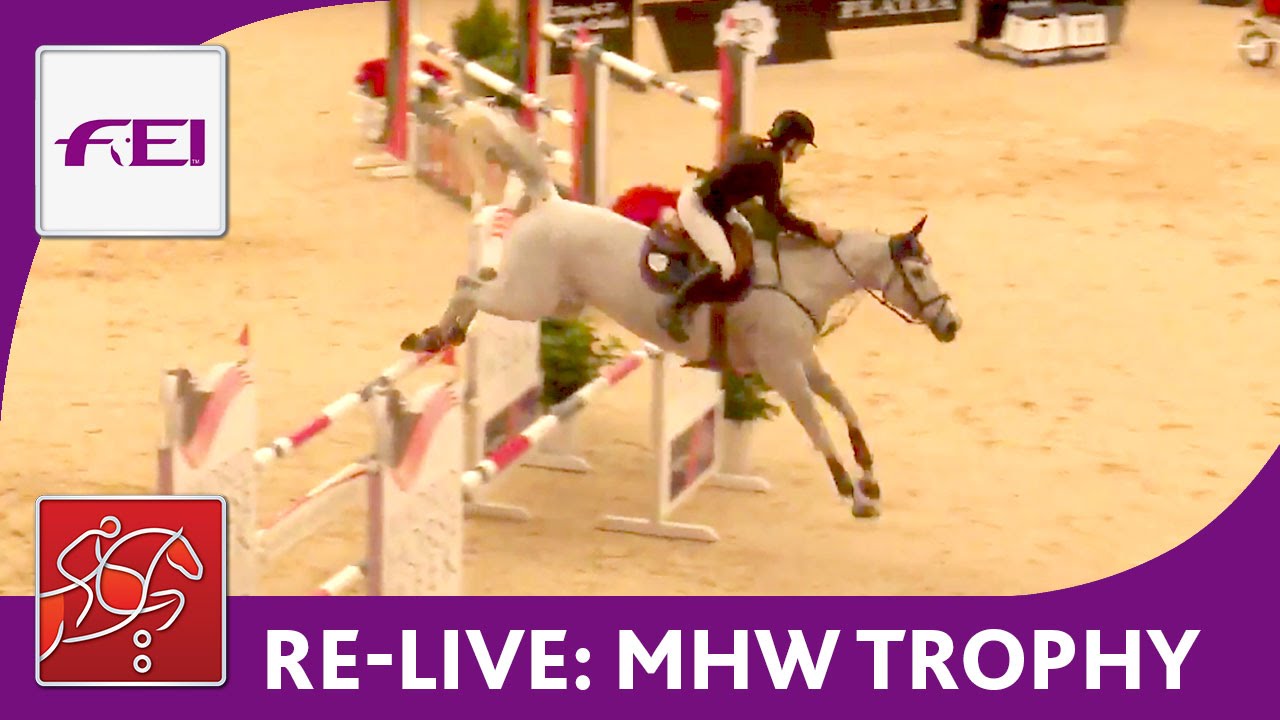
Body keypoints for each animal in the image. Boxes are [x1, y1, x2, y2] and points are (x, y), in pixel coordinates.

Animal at [402, 103, 962, 518]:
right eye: (917, 274)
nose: (951, 325)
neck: (801, 283)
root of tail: (548, 201)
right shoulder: (782, 370)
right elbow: (817, 424)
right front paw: (853, 493)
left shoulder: (802, 361)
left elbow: (845, 406)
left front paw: (869, 476)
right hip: (528, 298)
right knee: (469, 287)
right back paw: (430, 337)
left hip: (555, 298)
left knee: (477, 285)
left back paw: (440, 336)